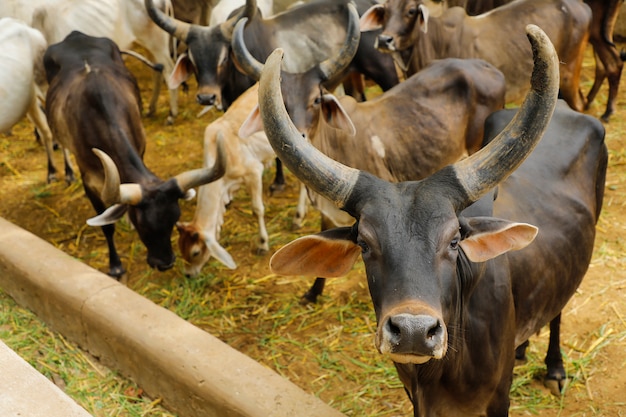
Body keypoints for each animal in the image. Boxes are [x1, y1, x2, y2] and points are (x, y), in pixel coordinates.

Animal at [42, 30, 227, 278]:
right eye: (142, 224)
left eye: (174, 219)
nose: (165, 263)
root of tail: (75, 35)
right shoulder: (89, 179)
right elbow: (107, 226)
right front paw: (116, 265)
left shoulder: (141, 148)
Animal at [176, 81, 308, 276]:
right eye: (180, 247)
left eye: (195, 252)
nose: (188, 274)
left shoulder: (254, 172)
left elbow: (257, 209)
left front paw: (262, 244)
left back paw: (297, 218)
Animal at [256, 24, 608, 414]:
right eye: (364, 243)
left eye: (454, 241)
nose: (413, 331)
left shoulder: (499, 397)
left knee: (559, 309)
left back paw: (555, 367)